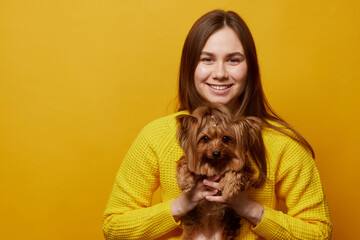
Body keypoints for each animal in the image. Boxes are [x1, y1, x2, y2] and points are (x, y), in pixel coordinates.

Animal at [176, 104, 264, 239]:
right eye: (205, 138)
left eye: (225, 138)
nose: (216, 153)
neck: (215, 164)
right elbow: (185, 163)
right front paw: (185, 182)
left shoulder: (246, 172)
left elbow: (235, 171)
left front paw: (228, 188)